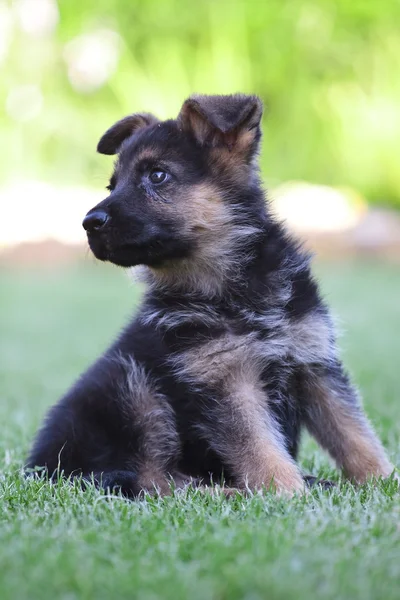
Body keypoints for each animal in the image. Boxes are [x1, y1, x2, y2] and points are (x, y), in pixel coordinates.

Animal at [26, 94, 396, 496]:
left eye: (157, 175)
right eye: (113, 185)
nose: (89, 223)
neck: (233, 286)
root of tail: (39, 469)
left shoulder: (313, 363)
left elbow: (353, 433)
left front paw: (382, 480)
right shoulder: (225, 380)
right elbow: (259, 447)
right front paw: (285, 493)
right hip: (132, 388)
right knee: (155, 481)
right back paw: (229, 491)